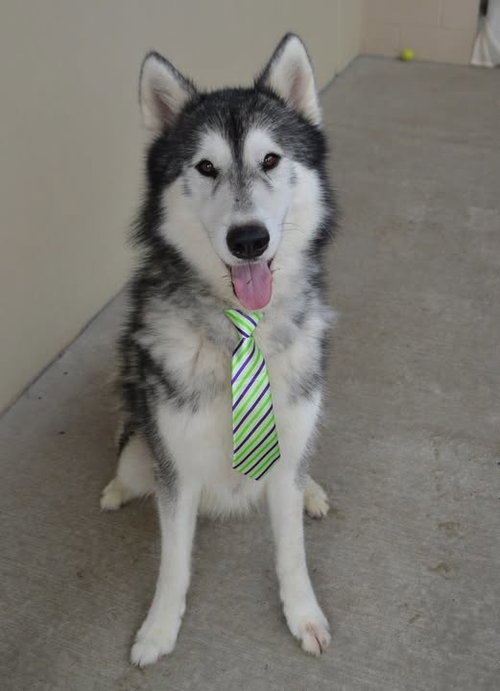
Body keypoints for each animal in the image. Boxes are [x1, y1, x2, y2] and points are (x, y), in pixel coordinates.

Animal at [100, 33, 337, 666]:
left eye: (271, 160)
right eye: (205, 166)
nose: (248, 238)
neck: (241, 331)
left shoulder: (288, 442)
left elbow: (292, 551)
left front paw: (303, 615)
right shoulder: (176, 468)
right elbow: (173, 563)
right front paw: (159, 629)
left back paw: (313, 491)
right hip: (142, 446)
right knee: (131, 465)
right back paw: (115, 489)